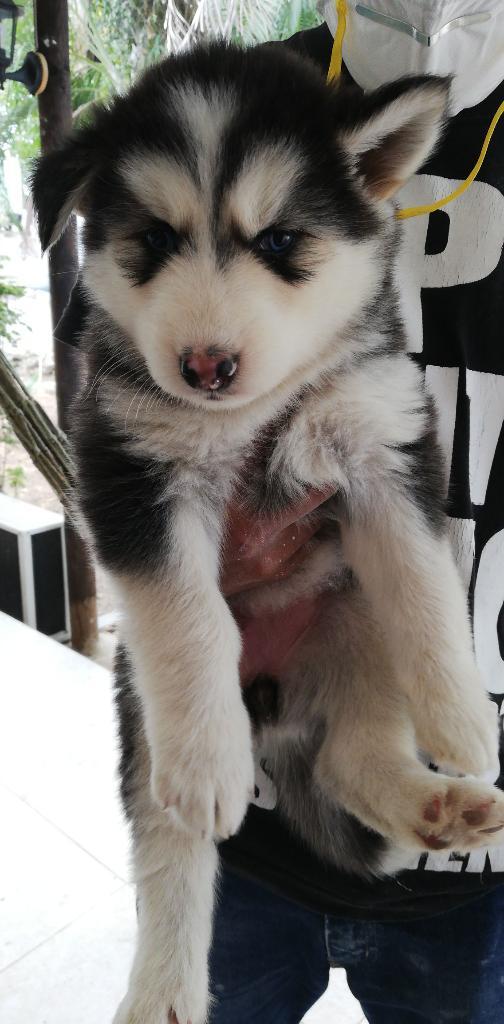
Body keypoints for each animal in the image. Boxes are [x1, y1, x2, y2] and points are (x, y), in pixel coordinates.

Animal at [33, 41, 501, 1024]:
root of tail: (278, 703)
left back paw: (435, 806)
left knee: (354, 758)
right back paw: (164, 989)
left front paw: (465, 719)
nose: (205, 366)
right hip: (141, 710)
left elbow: (425, 583)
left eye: (280, 242)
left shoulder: (382, 441)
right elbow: (191, 618)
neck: (254, 412)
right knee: (171, 845)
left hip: (352, 619)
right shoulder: (131, 472)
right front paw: (213, 759)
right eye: (155, 240)